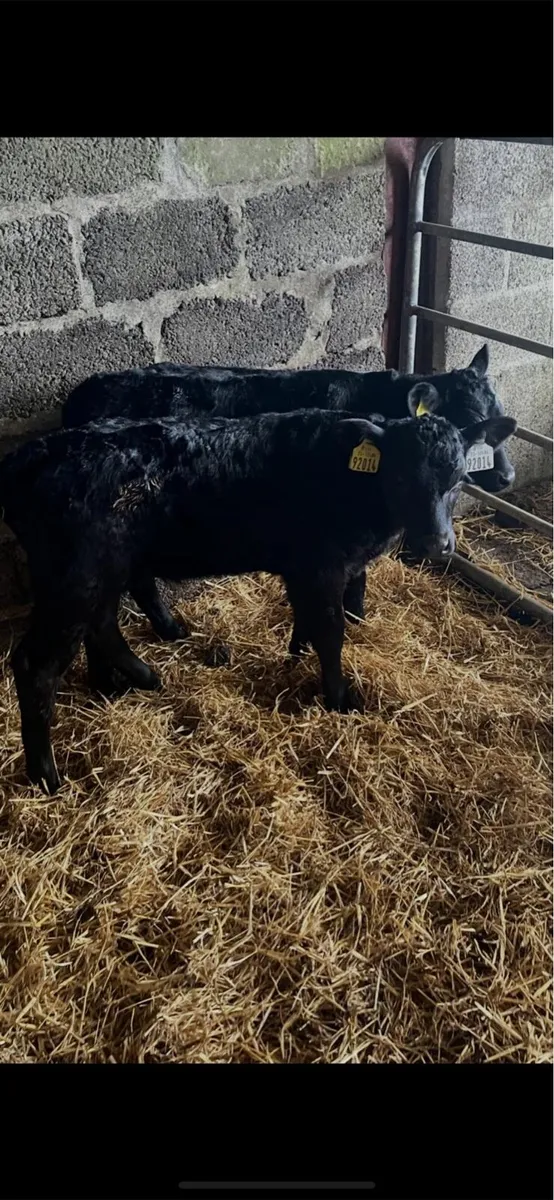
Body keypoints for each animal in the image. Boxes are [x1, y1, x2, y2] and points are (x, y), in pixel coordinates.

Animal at [0, 405, 516, 795]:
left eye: (459, 478)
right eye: (403, 478)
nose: (436, 544)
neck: (353, 484)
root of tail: (34, 452)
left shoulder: (306, 570)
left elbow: (307, 620)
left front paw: (296, 655)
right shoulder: (323, 566)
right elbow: (332, 630)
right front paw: (339, 698)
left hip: (99, 572)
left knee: (102, 624)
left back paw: (129, 681)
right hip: (77, 575)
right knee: (37, 663)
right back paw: (48, 776)